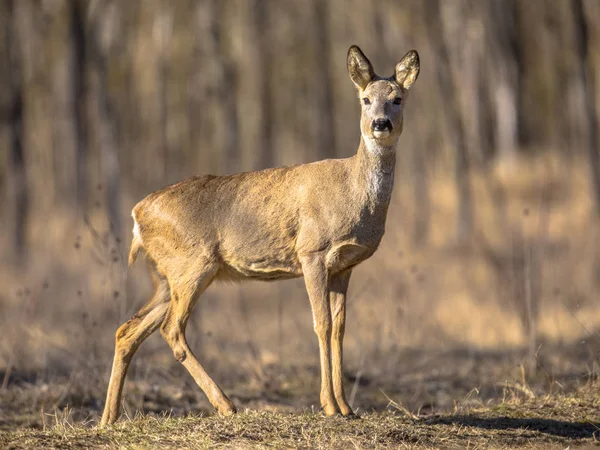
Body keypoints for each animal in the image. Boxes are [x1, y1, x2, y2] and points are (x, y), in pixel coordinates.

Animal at [101, 44, 420, 426]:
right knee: (171, 329)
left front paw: (347, 407)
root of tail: (137, 214)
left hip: (167, 276)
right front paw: (329, 406)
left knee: (127, 331)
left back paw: (108, 418)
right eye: (365, 99)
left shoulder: (345, 266)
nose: (380, 124)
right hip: (192, 265)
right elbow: (322, 324)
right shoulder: (312, 252)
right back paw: (226, 404)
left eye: (397, 98)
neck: (354, 192)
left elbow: (341, 329)